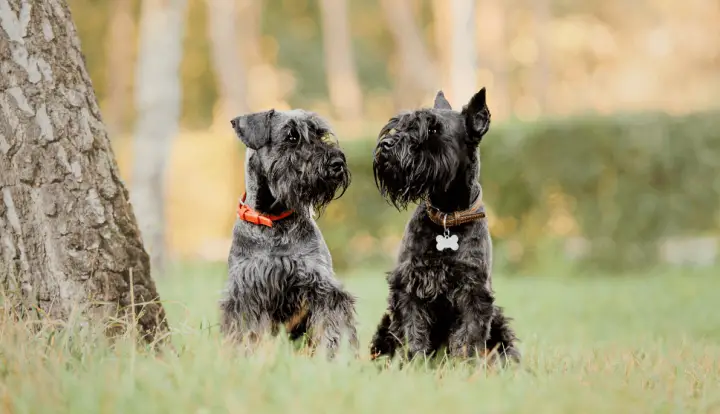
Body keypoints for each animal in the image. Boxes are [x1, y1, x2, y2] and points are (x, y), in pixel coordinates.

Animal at [217, 108, 358, 358]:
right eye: (292, 136)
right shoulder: (246, 292)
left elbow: (331, 326)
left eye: (320, 133)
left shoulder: (322, 286)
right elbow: (246, 332)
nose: (337, 162)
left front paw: (333, 356)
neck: (273, 220)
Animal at [368, 88, 520, 366]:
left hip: (498, 320)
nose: (387, 144)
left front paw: (465, 367)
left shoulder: (474, 292)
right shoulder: (409, 286)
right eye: (400, 124)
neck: (447, 216)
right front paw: (413, 364)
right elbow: (412, 332)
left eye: (434, 129)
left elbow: (469, 337)